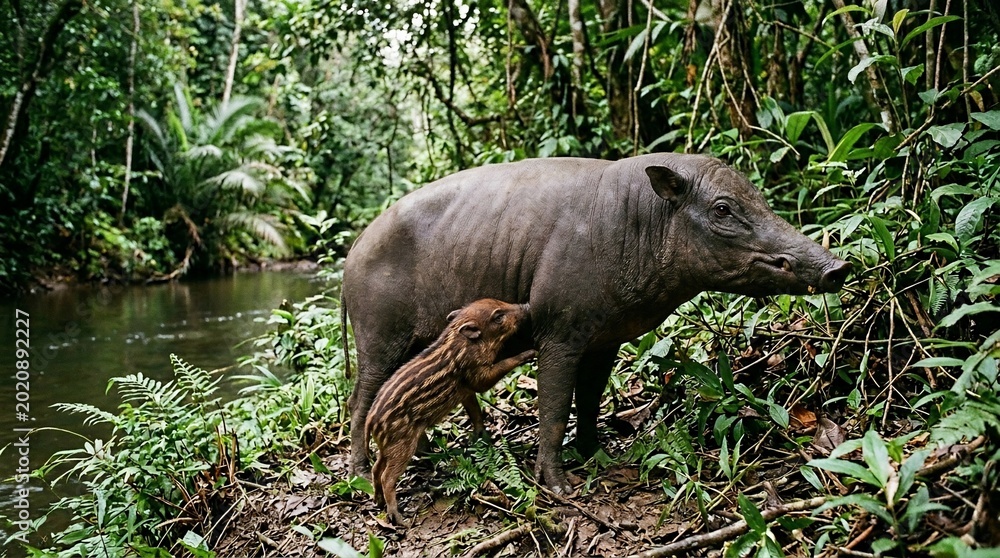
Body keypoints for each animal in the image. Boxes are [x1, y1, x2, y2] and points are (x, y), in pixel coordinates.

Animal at [343, 153, 851, 494]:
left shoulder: (607, 337)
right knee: (360, 399)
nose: (839, 268)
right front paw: (558, 487)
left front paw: (598, 456)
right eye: (723, 209)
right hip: (377, 335)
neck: (639, 228)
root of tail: (351, 256)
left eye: (760, 199)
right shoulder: (558, 330)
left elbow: (589, 401)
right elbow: (553, 409)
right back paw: (361, 473)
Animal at [365, 298, 536, 524]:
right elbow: (498, 369)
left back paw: (377, 501)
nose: (526, 306)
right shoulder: (477, 373)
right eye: (498, 316)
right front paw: (530, 353)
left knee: (376, 468)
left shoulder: (466, 391)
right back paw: (397, 517)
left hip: (387, 446)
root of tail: (371, 421)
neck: (464, 342)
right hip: (401, 445)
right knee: (387, 476)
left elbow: (474, 409)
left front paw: (480, 436)